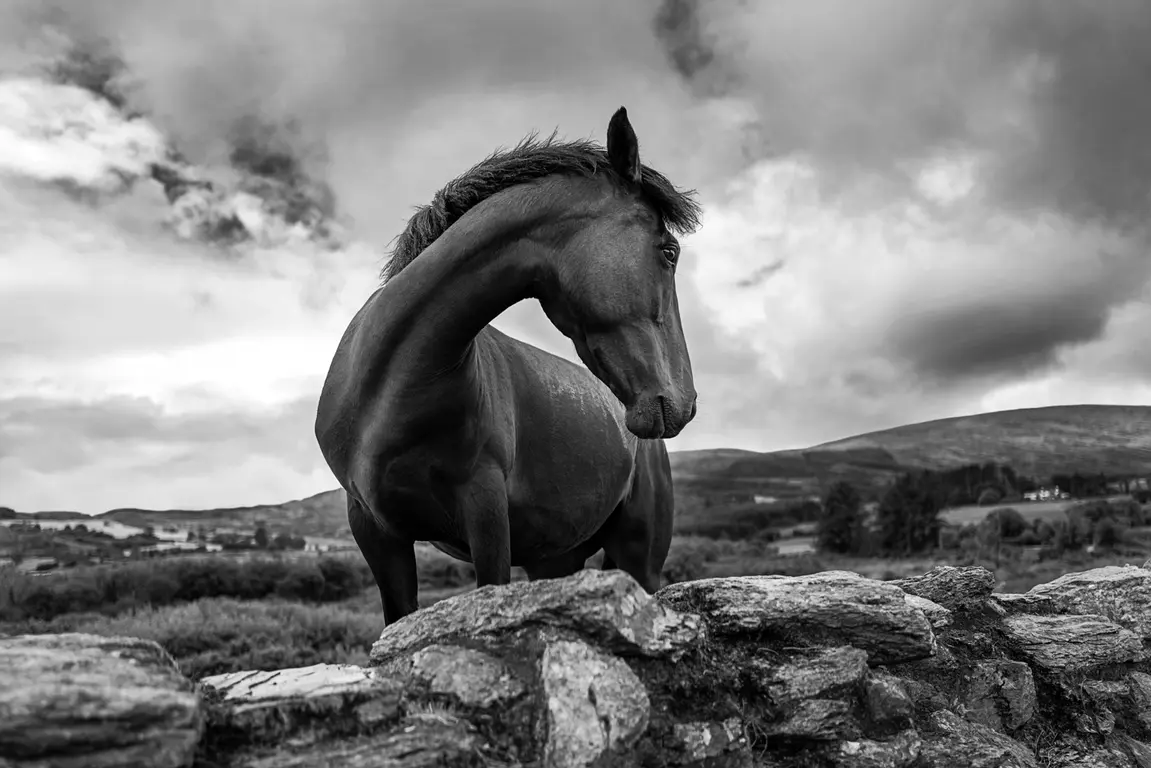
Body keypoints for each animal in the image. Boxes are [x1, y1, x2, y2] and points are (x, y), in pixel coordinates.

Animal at [310, 106, 699, 626]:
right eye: (668, 251)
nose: (684, 402)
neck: (389, 387)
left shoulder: (486, 512)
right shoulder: (374, 530)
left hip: (639, 558)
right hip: (554, 559)